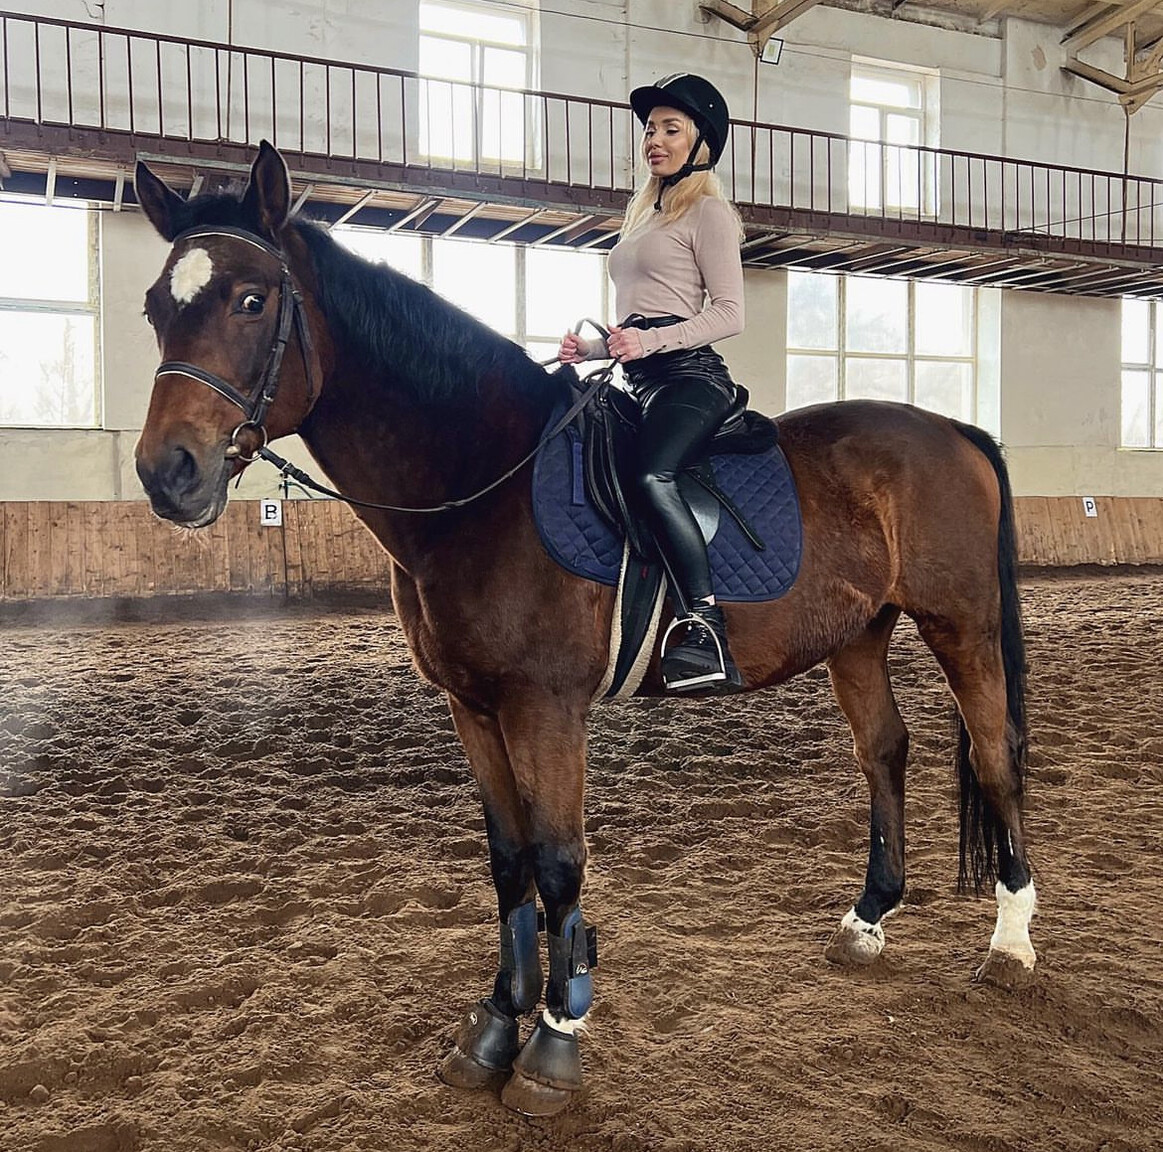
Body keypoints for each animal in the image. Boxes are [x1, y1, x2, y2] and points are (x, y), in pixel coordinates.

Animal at [133, 141, 1037, 1115]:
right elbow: (508, 862)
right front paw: (494, 1026)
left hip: (960, 623)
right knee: (884, 751)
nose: (167, 473)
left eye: (251, 300)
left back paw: (1010, 943)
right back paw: (867, 921)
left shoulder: (545, 707)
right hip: (858, 633)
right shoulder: (472, 706)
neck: (482, 482)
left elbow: (559, 862)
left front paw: (553, 1046)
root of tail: (949, 428)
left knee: (993, 755)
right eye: (155, 307)